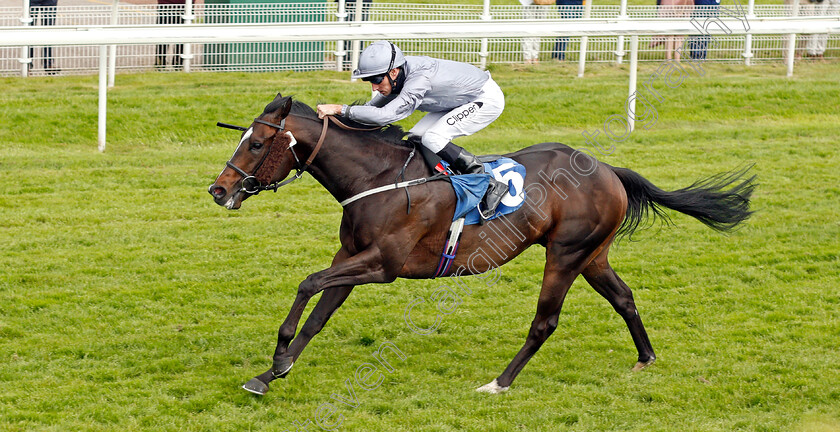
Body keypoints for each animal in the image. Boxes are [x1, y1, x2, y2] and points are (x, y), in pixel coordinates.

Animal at [208, 94, 756, 394]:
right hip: (593, 254)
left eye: (257, 143)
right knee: (624, 297)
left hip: (565, 254)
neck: (379, 177)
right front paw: (271, 372)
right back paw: (645, 358)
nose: (218, 190)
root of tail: (606, 169)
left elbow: (308, 283)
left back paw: (500, 382)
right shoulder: (353, 257)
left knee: (545, 322)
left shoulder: (382, 264)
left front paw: (278, 359)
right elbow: (318, 314)